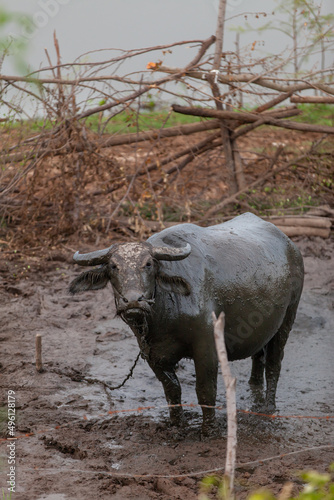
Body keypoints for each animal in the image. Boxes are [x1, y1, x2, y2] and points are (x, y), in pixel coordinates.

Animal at [69, 213, 304, 436]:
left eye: (148, 264)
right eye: (113, 266)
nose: (134, 300)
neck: (164, 317)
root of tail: (291, 247)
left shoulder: (207, 347)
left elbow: (205, 390)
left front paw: (208, 430)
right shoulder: (152, 354)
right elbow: (172, 389)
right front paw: (176, 425)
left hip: (288, 318)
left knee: (274, 364)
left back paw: (268, 408)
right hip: (264, 326)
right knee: (259, 356)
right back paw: (254, 390)